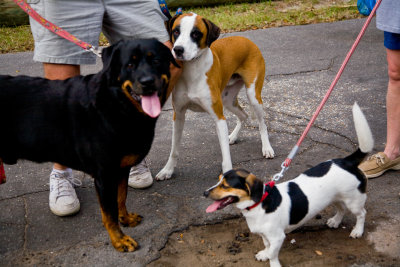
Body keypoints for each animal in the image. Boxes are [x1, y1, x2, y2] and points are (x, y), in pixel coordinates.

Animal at [0, 38, 178, 252]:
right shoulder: (105, 175)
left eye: (156, 60)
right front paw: (119, 240)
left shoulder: (121, 169)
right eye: (129, 64)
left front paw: (125, 218)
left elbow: (121, 197)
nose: (148, 82)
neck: (117, 104)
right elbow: (109, 212)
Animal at [156, 12, 276, 180]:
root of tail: (246, 40)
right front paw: (168, 170)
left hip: (253, 96)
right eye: (176, 31)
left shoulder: (219, 118)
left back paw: (266, 148)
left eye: (196, 33)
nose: (178, 49)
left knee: (262, 123)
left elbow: (225, 155)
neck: (192, 70)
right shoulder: (178, 115)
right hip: (227, 100)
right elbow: (174, 149)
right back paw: (232, 136)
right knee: (243, 115)